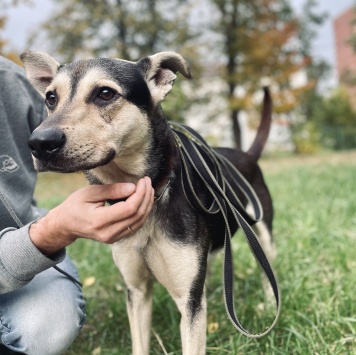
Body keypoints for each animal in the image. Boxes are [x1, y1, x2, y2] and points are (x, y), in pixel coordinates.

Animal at [20, 50, 276, 355]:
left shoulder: (188, 302)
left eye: (105, 93)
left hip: (263, 233)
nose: (39, 143)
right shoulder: (137, 291)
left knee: (267, 272)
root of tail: (246, 154)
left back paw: (268, 305)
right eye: (50, 97)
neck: (154, 194)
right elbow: (140, 343)